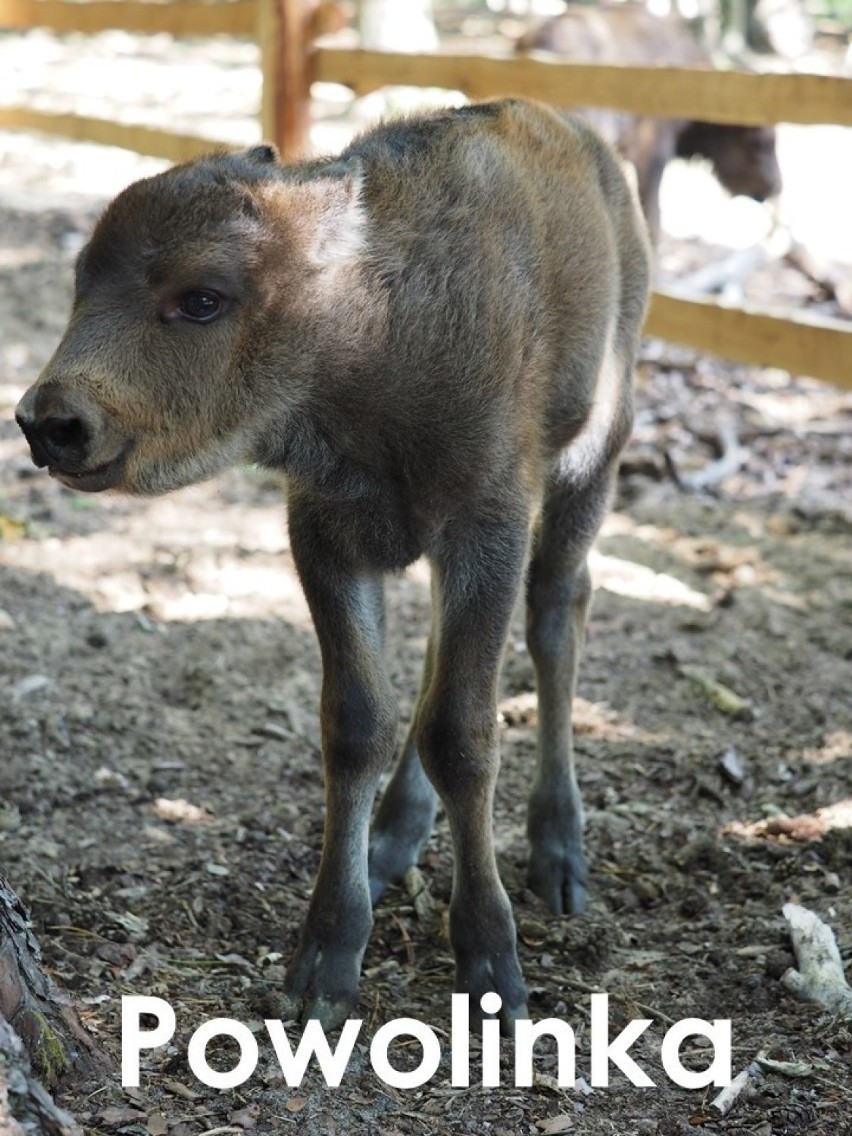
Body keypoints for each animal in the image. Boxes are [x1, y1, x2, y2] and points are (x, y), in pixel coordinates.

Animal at [16, 102, 649, 1036]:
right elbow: (357, 722)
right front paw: (324, 959)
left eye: (201, 299)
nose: (51, 421)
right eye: (81, 282)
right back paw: (391, 839)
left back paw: (559, 855)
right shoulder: (326, 534)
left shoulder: (486, 526)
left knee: (556, 613)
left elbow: (465, 732)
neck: (365, 320)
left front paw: (492, 966)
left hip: (592, 455)